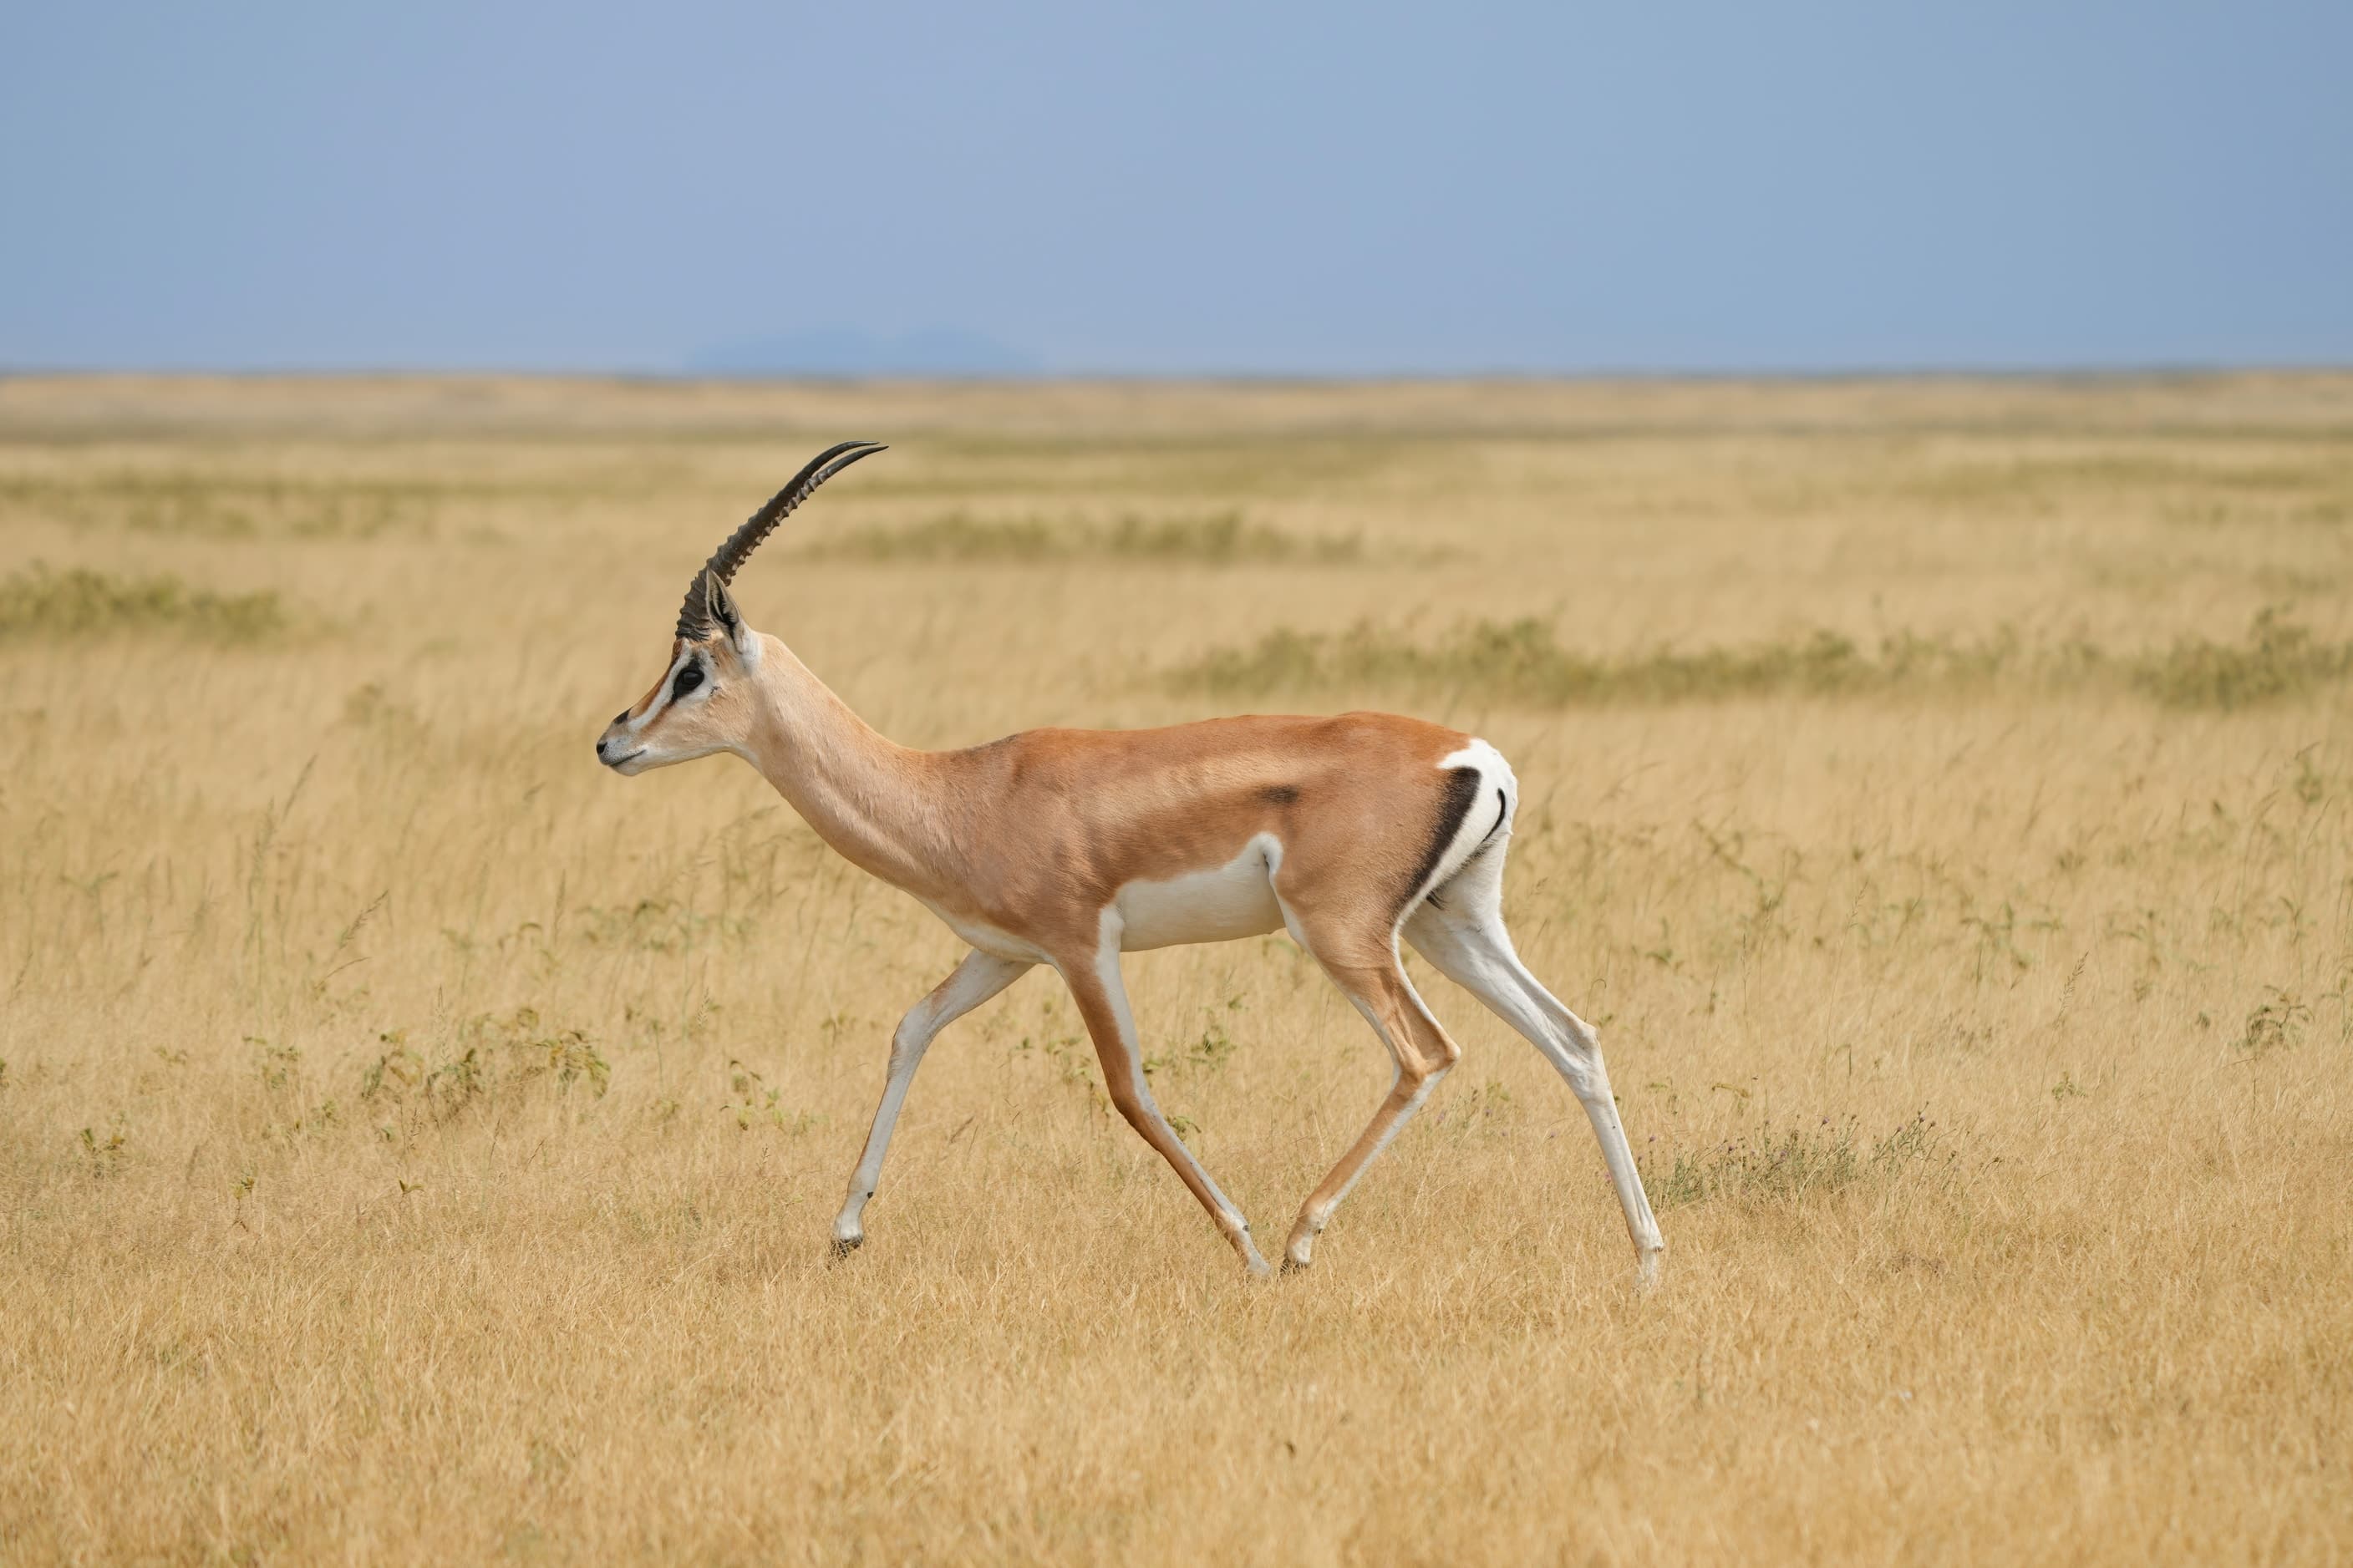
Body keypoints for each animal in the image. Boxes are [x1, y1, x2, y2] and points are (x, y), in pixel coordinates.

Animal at [597, 442, 1665, 1286]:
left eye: (691, 668)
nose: (613, 742)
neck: (958, 791)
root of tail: (1471, 756)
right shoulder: (1002, 953)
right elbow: (910, 1029)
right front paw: (845, 1231)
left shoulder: (1079, 948)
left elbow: (1128, 1089)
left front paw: (1241, 1245)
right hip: (1453, 924)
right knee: (1572, 1038)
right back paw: (1647, 1258)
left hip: (1343, 935)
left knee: (1425, 1052)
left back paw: (1297, 1240)